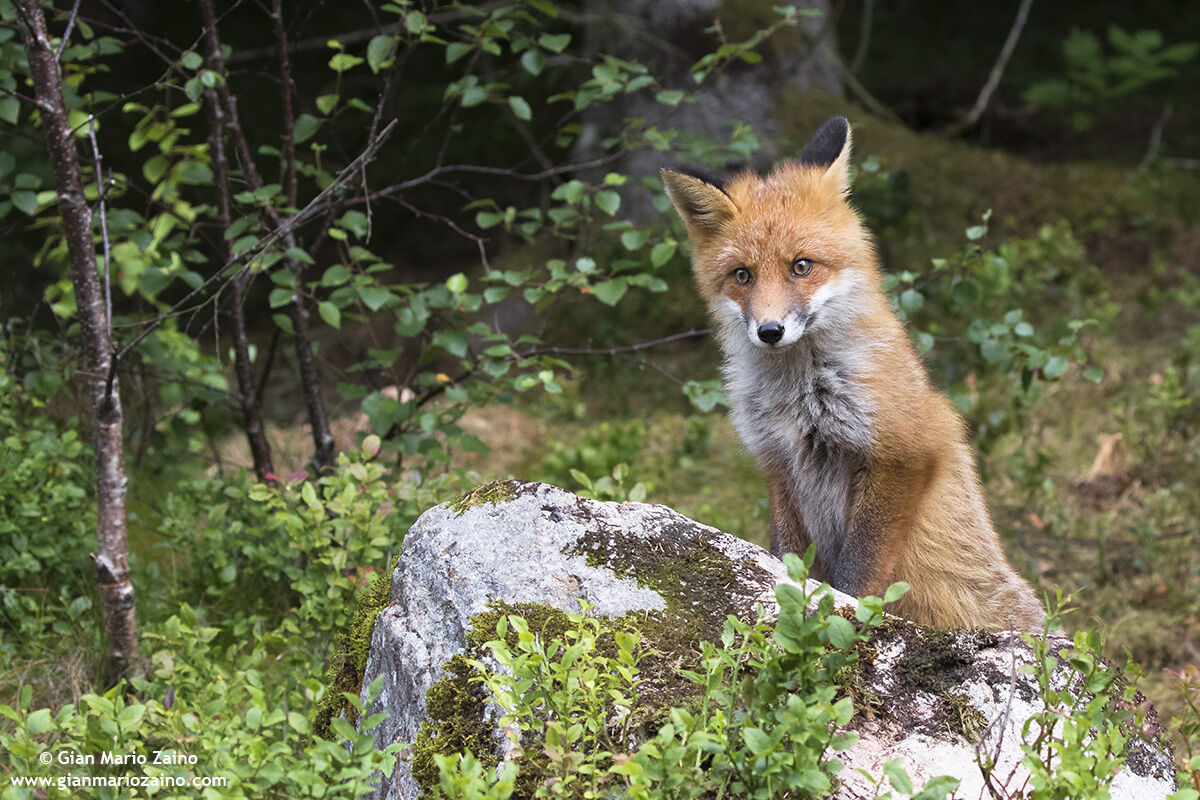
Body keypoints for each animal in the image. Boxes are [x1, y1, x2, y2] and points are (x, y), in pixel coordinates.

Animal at [662, 116, 1044, 631]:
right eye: (742, 275)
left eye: (801, 266)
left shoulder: (902, 454)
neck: (799, 394)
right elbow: (788, 559)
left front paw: (840, 620)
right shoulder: (777, 464)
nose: (769, 331)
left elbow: (856, 574)